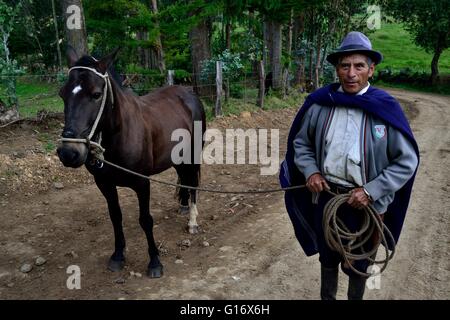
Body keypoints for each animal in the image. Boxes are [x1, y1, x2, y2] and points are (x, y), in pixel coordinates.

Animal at [56, 47, 206, 278]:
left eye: (96, 94)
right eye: (62, 93)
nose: (68, 153)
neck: (120, 134)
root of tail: (189, 94)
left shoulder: (142, 184)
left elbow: (145, 220)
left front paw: (155, 262)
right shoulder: (104, 184)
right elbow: (115, 217)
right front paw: (118, 256)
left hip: (193, 154)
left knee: (192, 184)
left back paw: (192, 221)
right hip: (176, 156)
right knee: (183, 178)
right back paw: (182, 206)